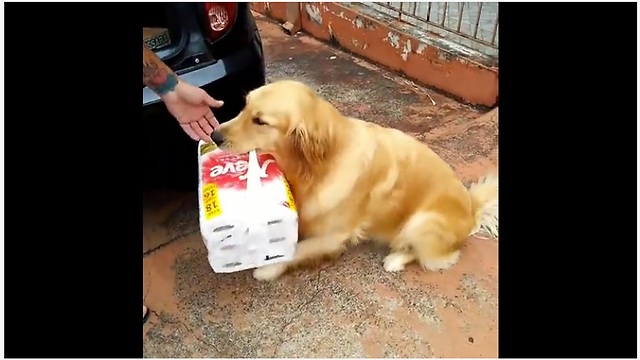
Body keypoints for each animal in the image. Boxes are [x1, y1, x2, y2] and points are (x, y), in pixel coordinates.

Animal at [212, 79, 498, 282]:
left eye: (260, 121)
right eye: (244, 106)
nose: (214, 134)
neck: (317, 168)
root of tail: (472, 208)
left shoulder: (334, 236)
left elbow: (297, 250)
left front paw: (268, 269)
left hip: (421, 222)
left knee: (437, 256)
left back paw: (395, 259)